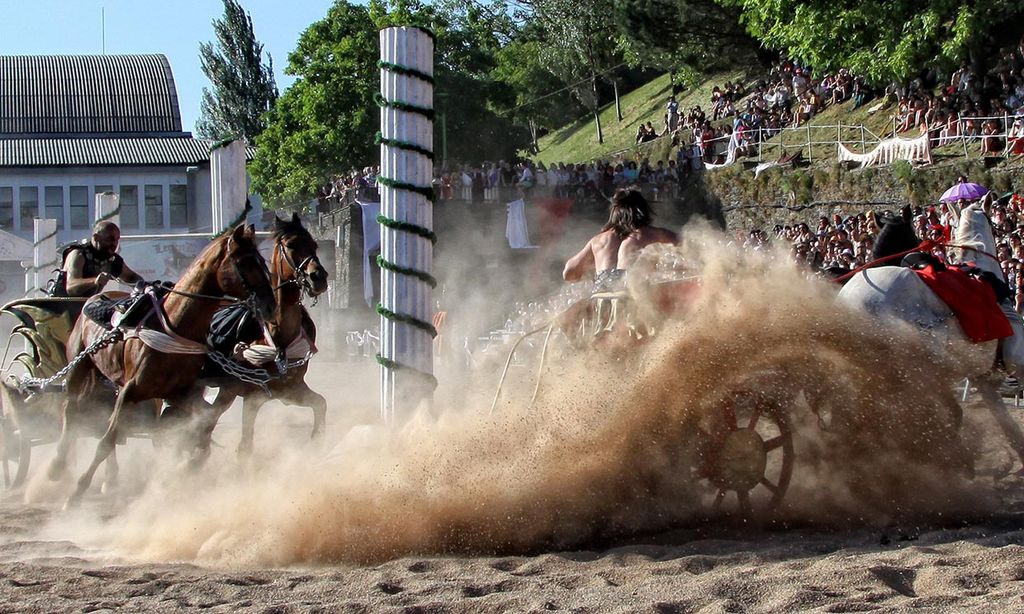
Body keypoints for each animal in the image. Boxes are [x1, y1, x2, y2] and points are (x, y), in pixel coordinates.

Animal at [48, 223, 276, 505]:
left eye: (262, 261)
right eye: (244, 262)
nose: (270, 305)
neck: (175, 325)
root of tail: (94, 299)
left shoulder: (180, 393)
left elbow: (203, 431)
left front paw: (184, 468)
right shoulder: (130, 391)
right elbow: (106, 440)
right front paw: (77, 492)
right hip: (79, 368)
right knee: (71, 409)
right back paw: (57, 465)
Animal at [199, 211, 327, 456]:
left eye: (314, 244)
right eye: (291, 245)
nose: (318, 277)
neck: (279, 339)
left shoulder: (291, 390)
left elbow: (320, 404)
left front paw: (317, 441)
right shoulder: (250, 397)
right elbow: (245, 447)